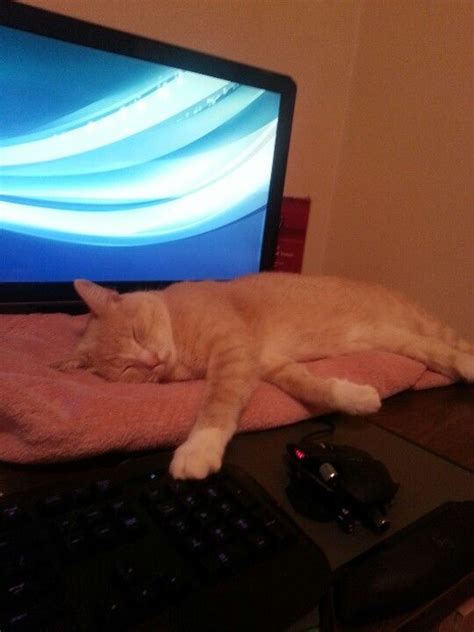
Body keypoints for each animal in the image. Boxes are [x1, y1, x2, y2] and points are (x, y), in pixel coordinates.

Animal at [52, 272, 474, 478]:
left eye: (137, 333)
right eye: (128, 369)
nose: (152, 361)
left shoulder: (233, 351)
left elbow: (218, 404)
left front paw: (199, 449)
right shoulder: (265, 361)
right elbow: (314, 386)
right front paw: (355, 397)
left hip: (419, 329)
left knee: (455, 346)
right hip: (400, 340)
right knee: (439, 353)